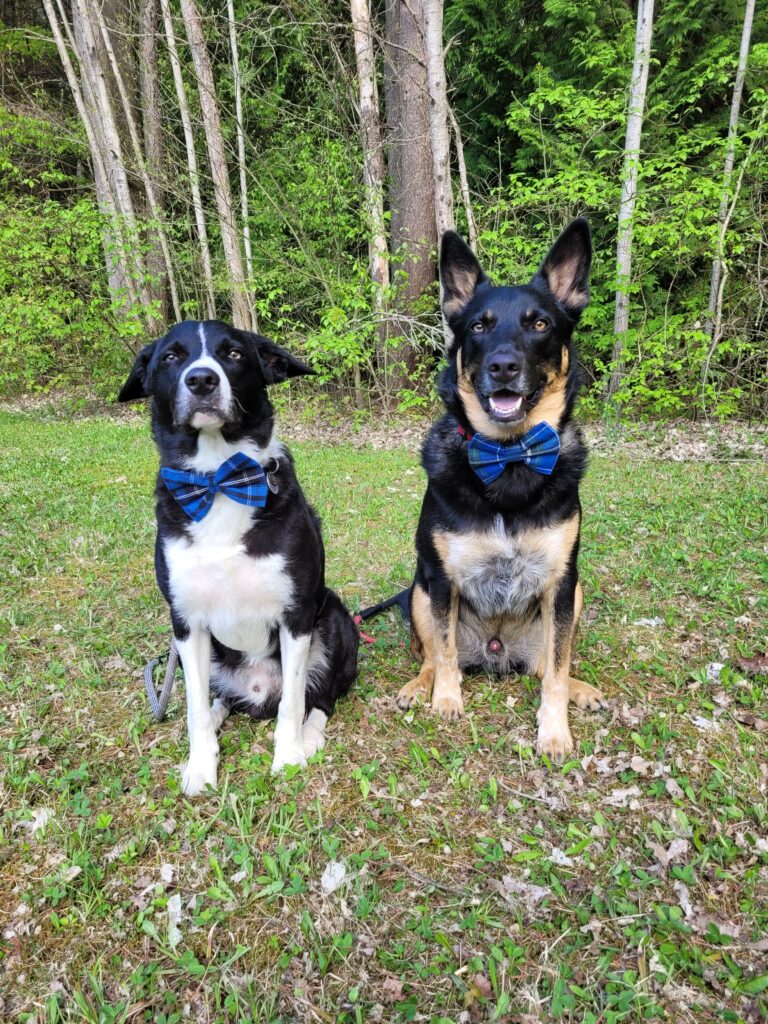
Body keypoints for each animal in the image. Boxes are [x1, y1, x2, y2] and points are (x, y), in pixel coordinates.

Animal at [118, 317, 360, 790]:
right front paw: (200, 766)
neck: (219, 478)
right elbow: (193, 707)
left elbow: (294, 702)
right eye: (171, 357)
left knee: (320, 697)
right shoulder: (186, 622)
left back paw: (309, 737)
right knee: (220, 701)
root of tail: (257, 692)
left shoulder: (296, 615)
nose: (201, 380)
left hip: (335, 619)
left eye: (233, 354)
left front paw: (288, 757)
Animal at [397, 220, 606, 757]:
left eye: (540, 325)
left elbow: (556, 669)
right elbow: (445, 652)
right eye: (479, 326)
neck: (508, 459)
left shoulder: (562, 581)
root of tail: (496, 652)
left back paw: (580, 689)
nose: (504, 366)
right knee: (432, 654)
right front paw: (446, 702)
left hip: (573, 597)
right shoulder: (441, 578)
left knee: (549, 662)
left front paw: (554, 730)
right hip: (418, 592)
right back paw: (419, 687)